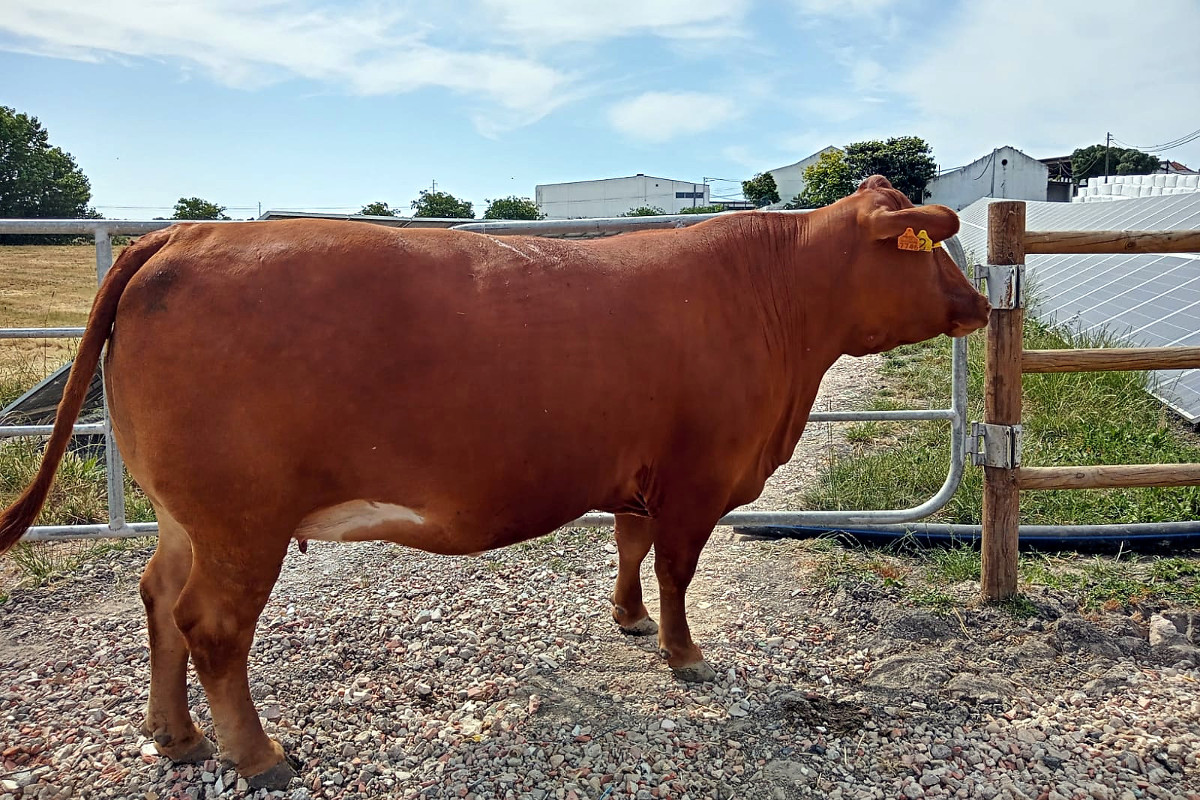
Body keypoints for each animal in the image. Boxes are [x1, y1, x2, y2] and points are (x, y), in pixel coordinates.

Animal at [0, 176, 989, 788]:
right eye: (922, 247)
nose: (981, 302)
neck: (774, 296)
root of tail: (185, 233)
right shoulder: (698, 478)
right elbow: (677, 570)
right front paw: (684, 653)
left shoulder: (638, 473)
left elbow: (630, 550)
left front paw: (628, 621)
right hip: (243, 519)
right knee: (212, 627)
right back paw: (257, 753)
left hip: (188, 516)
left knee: (160, 601)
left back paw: (177, 736)